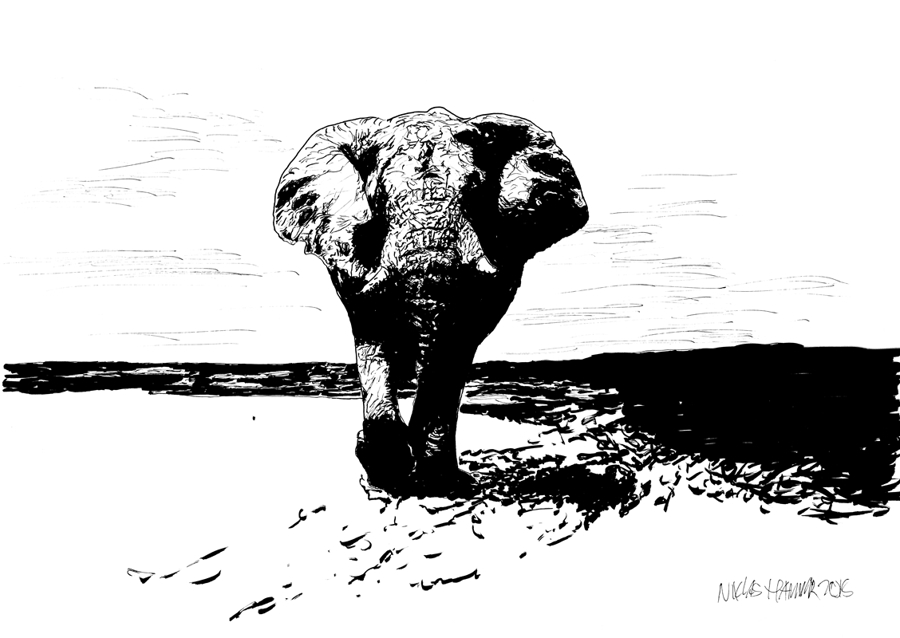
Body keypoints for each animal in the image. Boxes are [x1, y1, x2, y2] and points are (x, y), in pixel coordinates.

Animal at [272, 107, 588, 496]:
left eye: (476, 191)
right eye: (377, 196)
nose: (363, 444)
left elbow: (456, 341)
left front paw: (440, 483)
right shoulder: (343, 241)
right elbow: (369, 326)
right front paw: (388, 465)